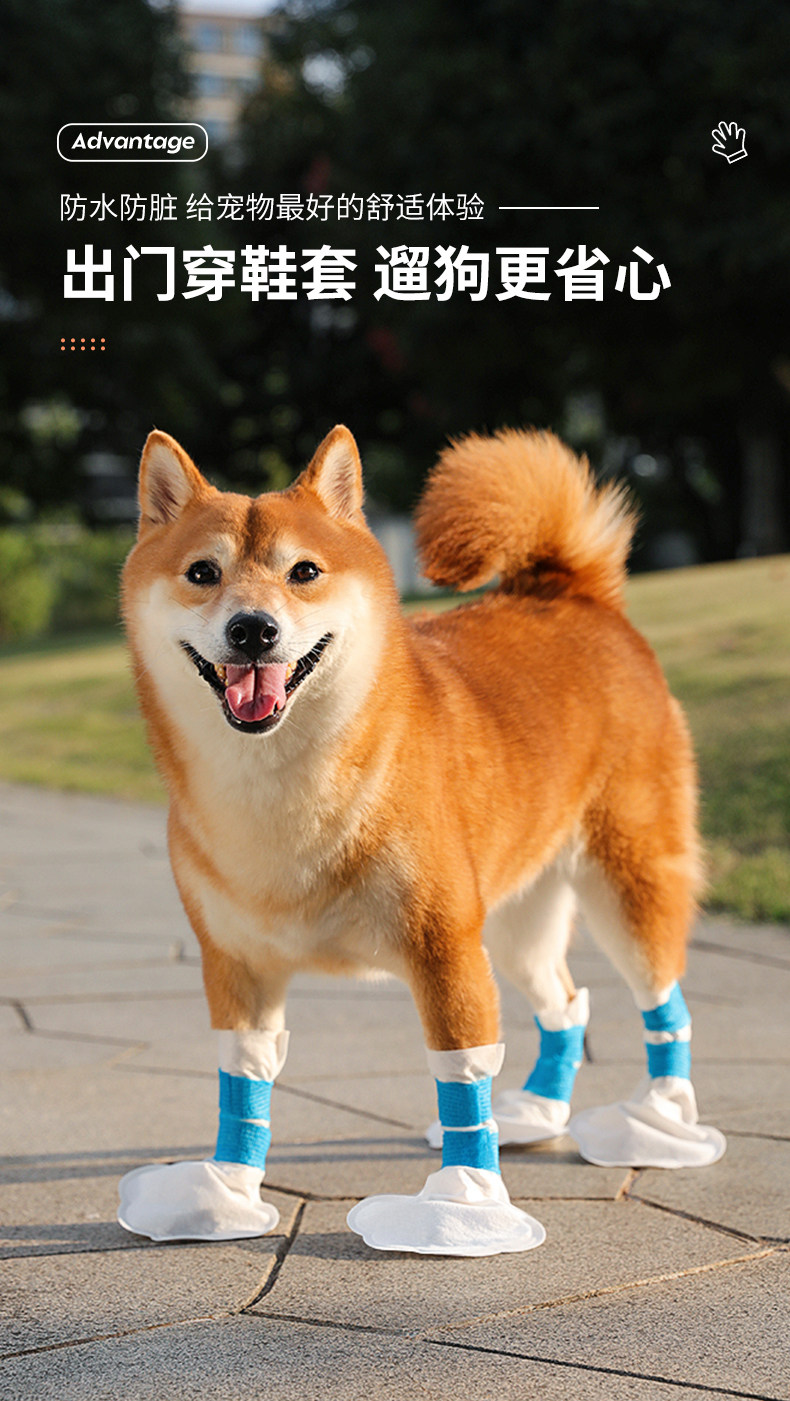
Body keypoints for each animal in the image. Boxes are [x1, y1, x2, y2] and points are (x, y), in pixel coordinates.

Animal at [117, 424, 724, 1254]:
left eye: (304, 572)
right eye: (203, 573)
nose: (253, 628)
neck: (286, 792)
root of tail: (572, 591)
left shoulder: (443, 950)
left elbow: (462, 1079)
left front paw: (461, 1210)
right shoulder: (236, 964)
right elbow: (243, 1084)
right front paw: (222, 1193)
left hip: (623, 888)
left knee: (664, 1003)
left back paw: (656, 1121)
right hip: (515, 921)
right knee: (566, 1003)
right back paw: (537, 1111)